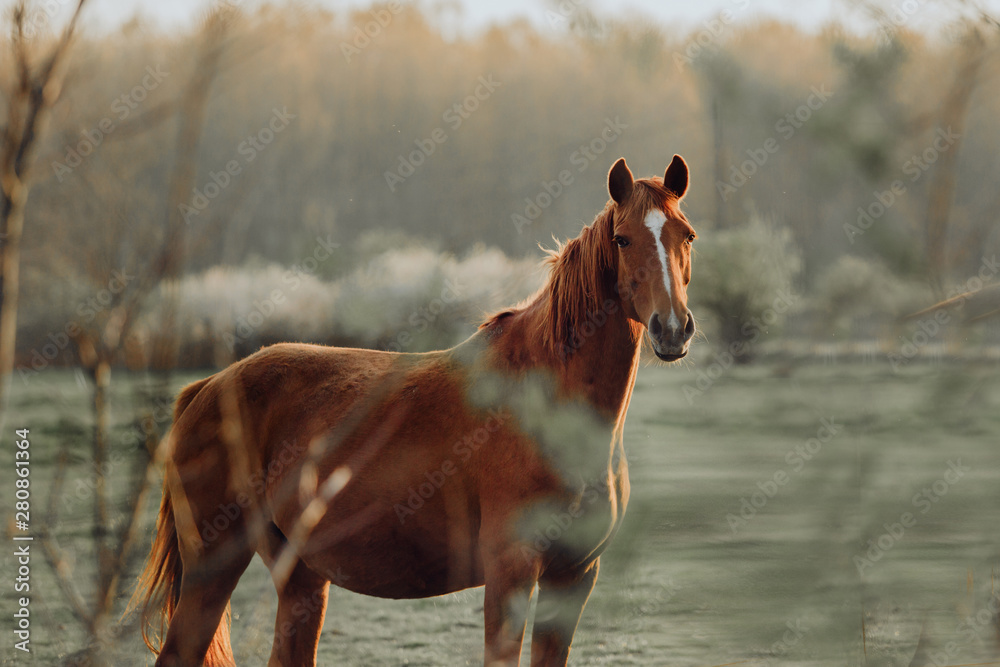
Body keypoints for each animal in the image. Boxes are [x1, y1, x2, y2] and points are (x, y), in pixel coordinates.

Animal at [130, 154, 698, 666]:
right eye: (622, 239)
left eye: (686, 236)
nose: (672, 329)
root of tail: (208, 387)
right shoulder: (510, 573)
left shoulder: (573, 577)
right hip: (213, 567)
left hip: (300, 575)